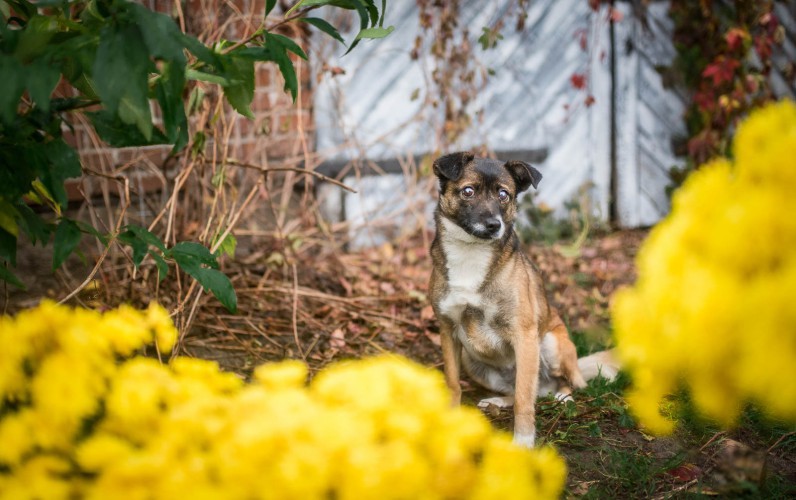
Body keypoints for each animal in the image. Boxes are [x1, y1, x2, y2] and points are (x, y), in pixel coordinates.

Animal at [432, 150, 620, 448]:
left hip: (551, 344)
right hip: (473, 362)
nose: (494, 225)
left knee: (556, 386)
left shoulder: (524, 335)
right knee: (523, 389)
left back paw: (563, 397)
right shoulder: (448, 331)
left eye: (504, 195)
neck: (471, 254)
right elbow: (452, 384)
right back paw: (499, 400)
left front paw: (522, 441)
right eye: (468, 191)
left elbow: (524, 398)